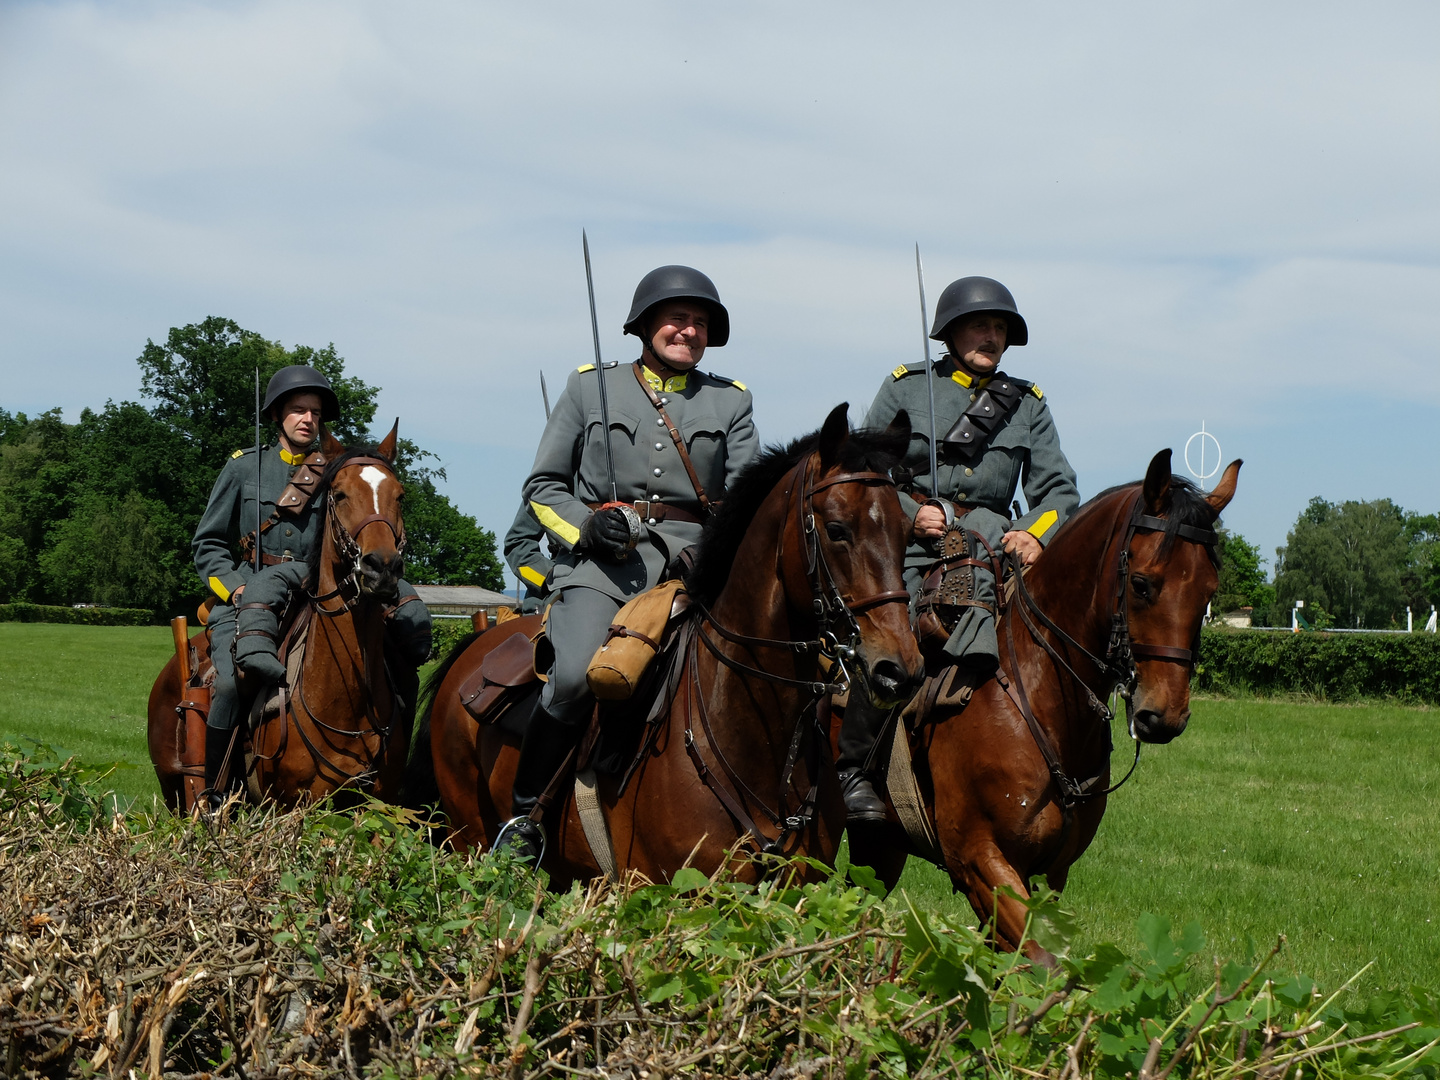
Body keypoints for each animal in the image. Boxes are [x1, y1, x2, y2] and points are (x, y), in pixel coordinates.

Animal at [147, 423, 411, 812]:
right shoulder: (287, 807)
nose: (382, 568)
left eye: (400, 496)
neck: (348, 704)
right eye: (340, 494)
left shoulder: (381, 806)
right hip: (173, 792)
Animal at [846, 449, 1244, 961]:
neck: (1038, 695)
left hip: (879, 847)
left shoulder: (1050, 874)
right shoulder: (978, 860)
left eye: (1209, 592)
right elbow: (1041, 962)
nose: (1164, 716)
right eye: (1141, 584)